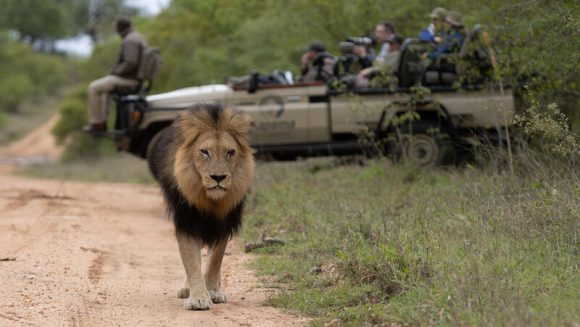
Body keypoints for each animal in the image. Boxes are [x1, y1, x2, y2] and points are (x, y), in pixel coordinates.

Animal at [147, 103, 254, 310]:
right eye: (204, 152)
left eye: (230, 152)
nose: (218, 177)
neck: (210, 200)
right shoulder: (186, 222)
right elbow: (192, 262)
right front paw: (198, 298)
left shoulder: (224, 224)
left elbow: (215, 261)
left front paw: (212, 291)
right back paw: (186, 288)